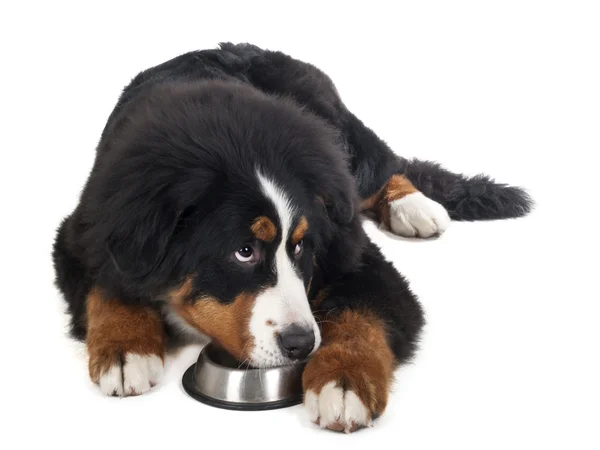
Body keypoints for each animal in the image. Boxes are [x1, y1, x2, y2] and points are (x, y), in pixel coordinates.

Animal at [52, 42, 528, 432]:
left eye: (300, 246)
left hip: (344, 141)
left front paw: (343, 380)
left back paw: (414, 206)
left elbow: (360, 315)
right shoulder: (86, 232)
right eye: (244, 252)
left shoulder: (355, 256)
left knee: (383, 164)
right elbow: (106, 288)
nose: (301, 343)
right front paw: (125, 348)